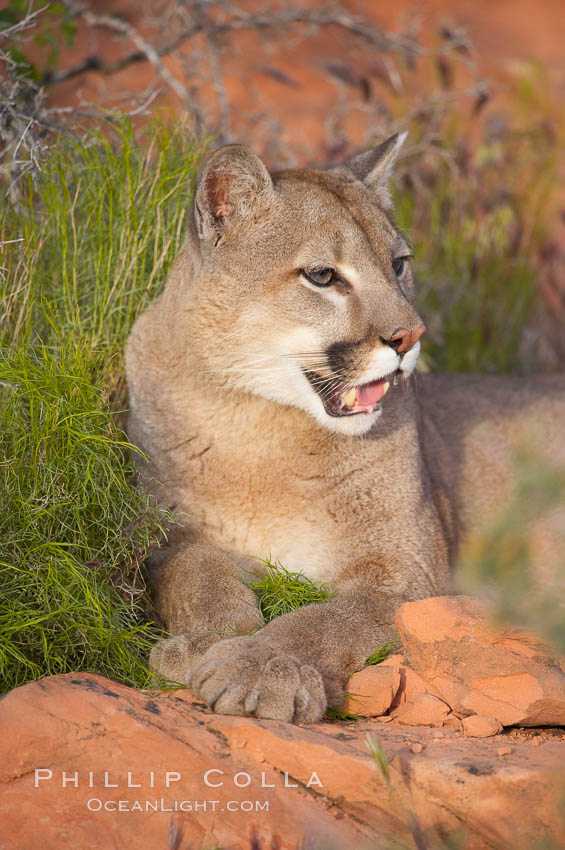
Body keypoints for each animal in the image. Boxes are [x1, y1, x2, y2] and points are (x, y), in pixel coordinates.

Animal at [125, 136, 560, 720]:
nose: (411, 335)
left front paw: (262, 665)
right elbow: (197, 573)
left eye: (398, 264)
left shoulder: (403, 573)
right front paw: (205, 641)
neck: (258, 427)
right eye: (322, 276)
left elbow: (325, 620)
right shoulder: (165, 535)